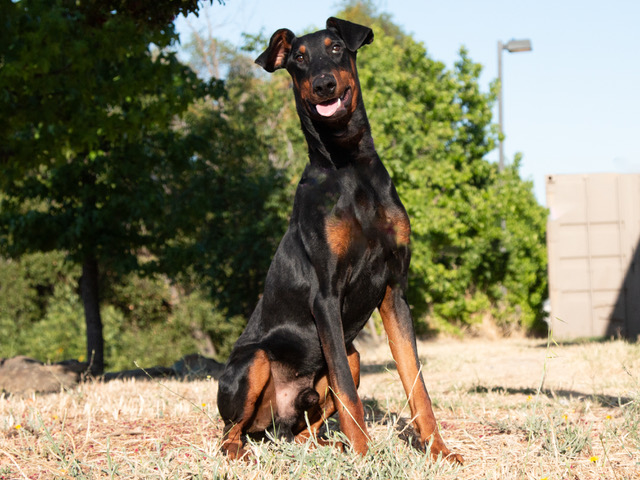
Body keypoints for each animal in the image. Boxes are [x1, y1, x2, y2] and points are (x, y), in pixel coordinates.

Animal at [216, 16, 462, 464]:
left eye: (335, 47)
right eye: (298, 58)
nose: (324, 84)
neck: (350, 165)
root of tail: (276, 419)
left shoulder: (394, 291)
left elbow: (416, 384)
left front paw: (438, 450)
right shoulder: (326, 295)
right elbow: (349, 395)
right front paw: (366, 455)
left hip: (352, 354)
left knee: (303, 430)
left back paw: (327, 444)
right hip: (254, 360)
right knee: (232, 430)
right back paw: (243, 452)